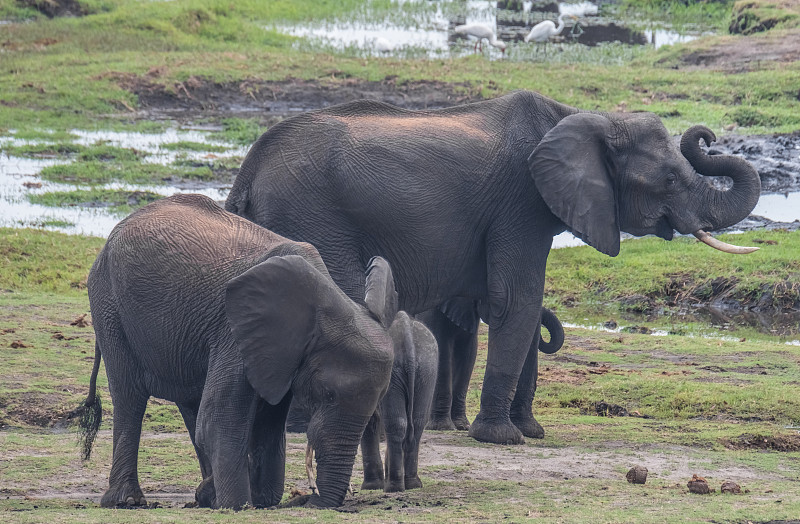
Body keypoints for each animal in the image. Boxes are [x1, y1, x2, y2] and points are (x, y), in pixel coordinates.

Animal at [76, 194, 396, 510]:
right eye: (326, 394)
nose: (311, 499)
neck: (328, 301)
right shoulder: (233, 332)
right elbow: (218, 419)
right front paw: (237, 506)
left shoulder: (280, 353)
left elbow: (267, 424)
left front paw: (259, 501)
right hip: (109, 305)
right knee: (130, 396)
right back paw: (128, 501)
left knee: (191, 403)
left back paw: (204, 495)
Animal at [225, 89, 764, 442]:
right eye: (670, 179)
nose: (705, 135)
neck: (584, 119)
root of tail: (247, 172)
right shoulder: (520, 202)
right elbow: (516, 301)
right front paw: (502, 437)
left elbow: (521, 305)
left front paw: (530, 431)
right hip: (314, 216)